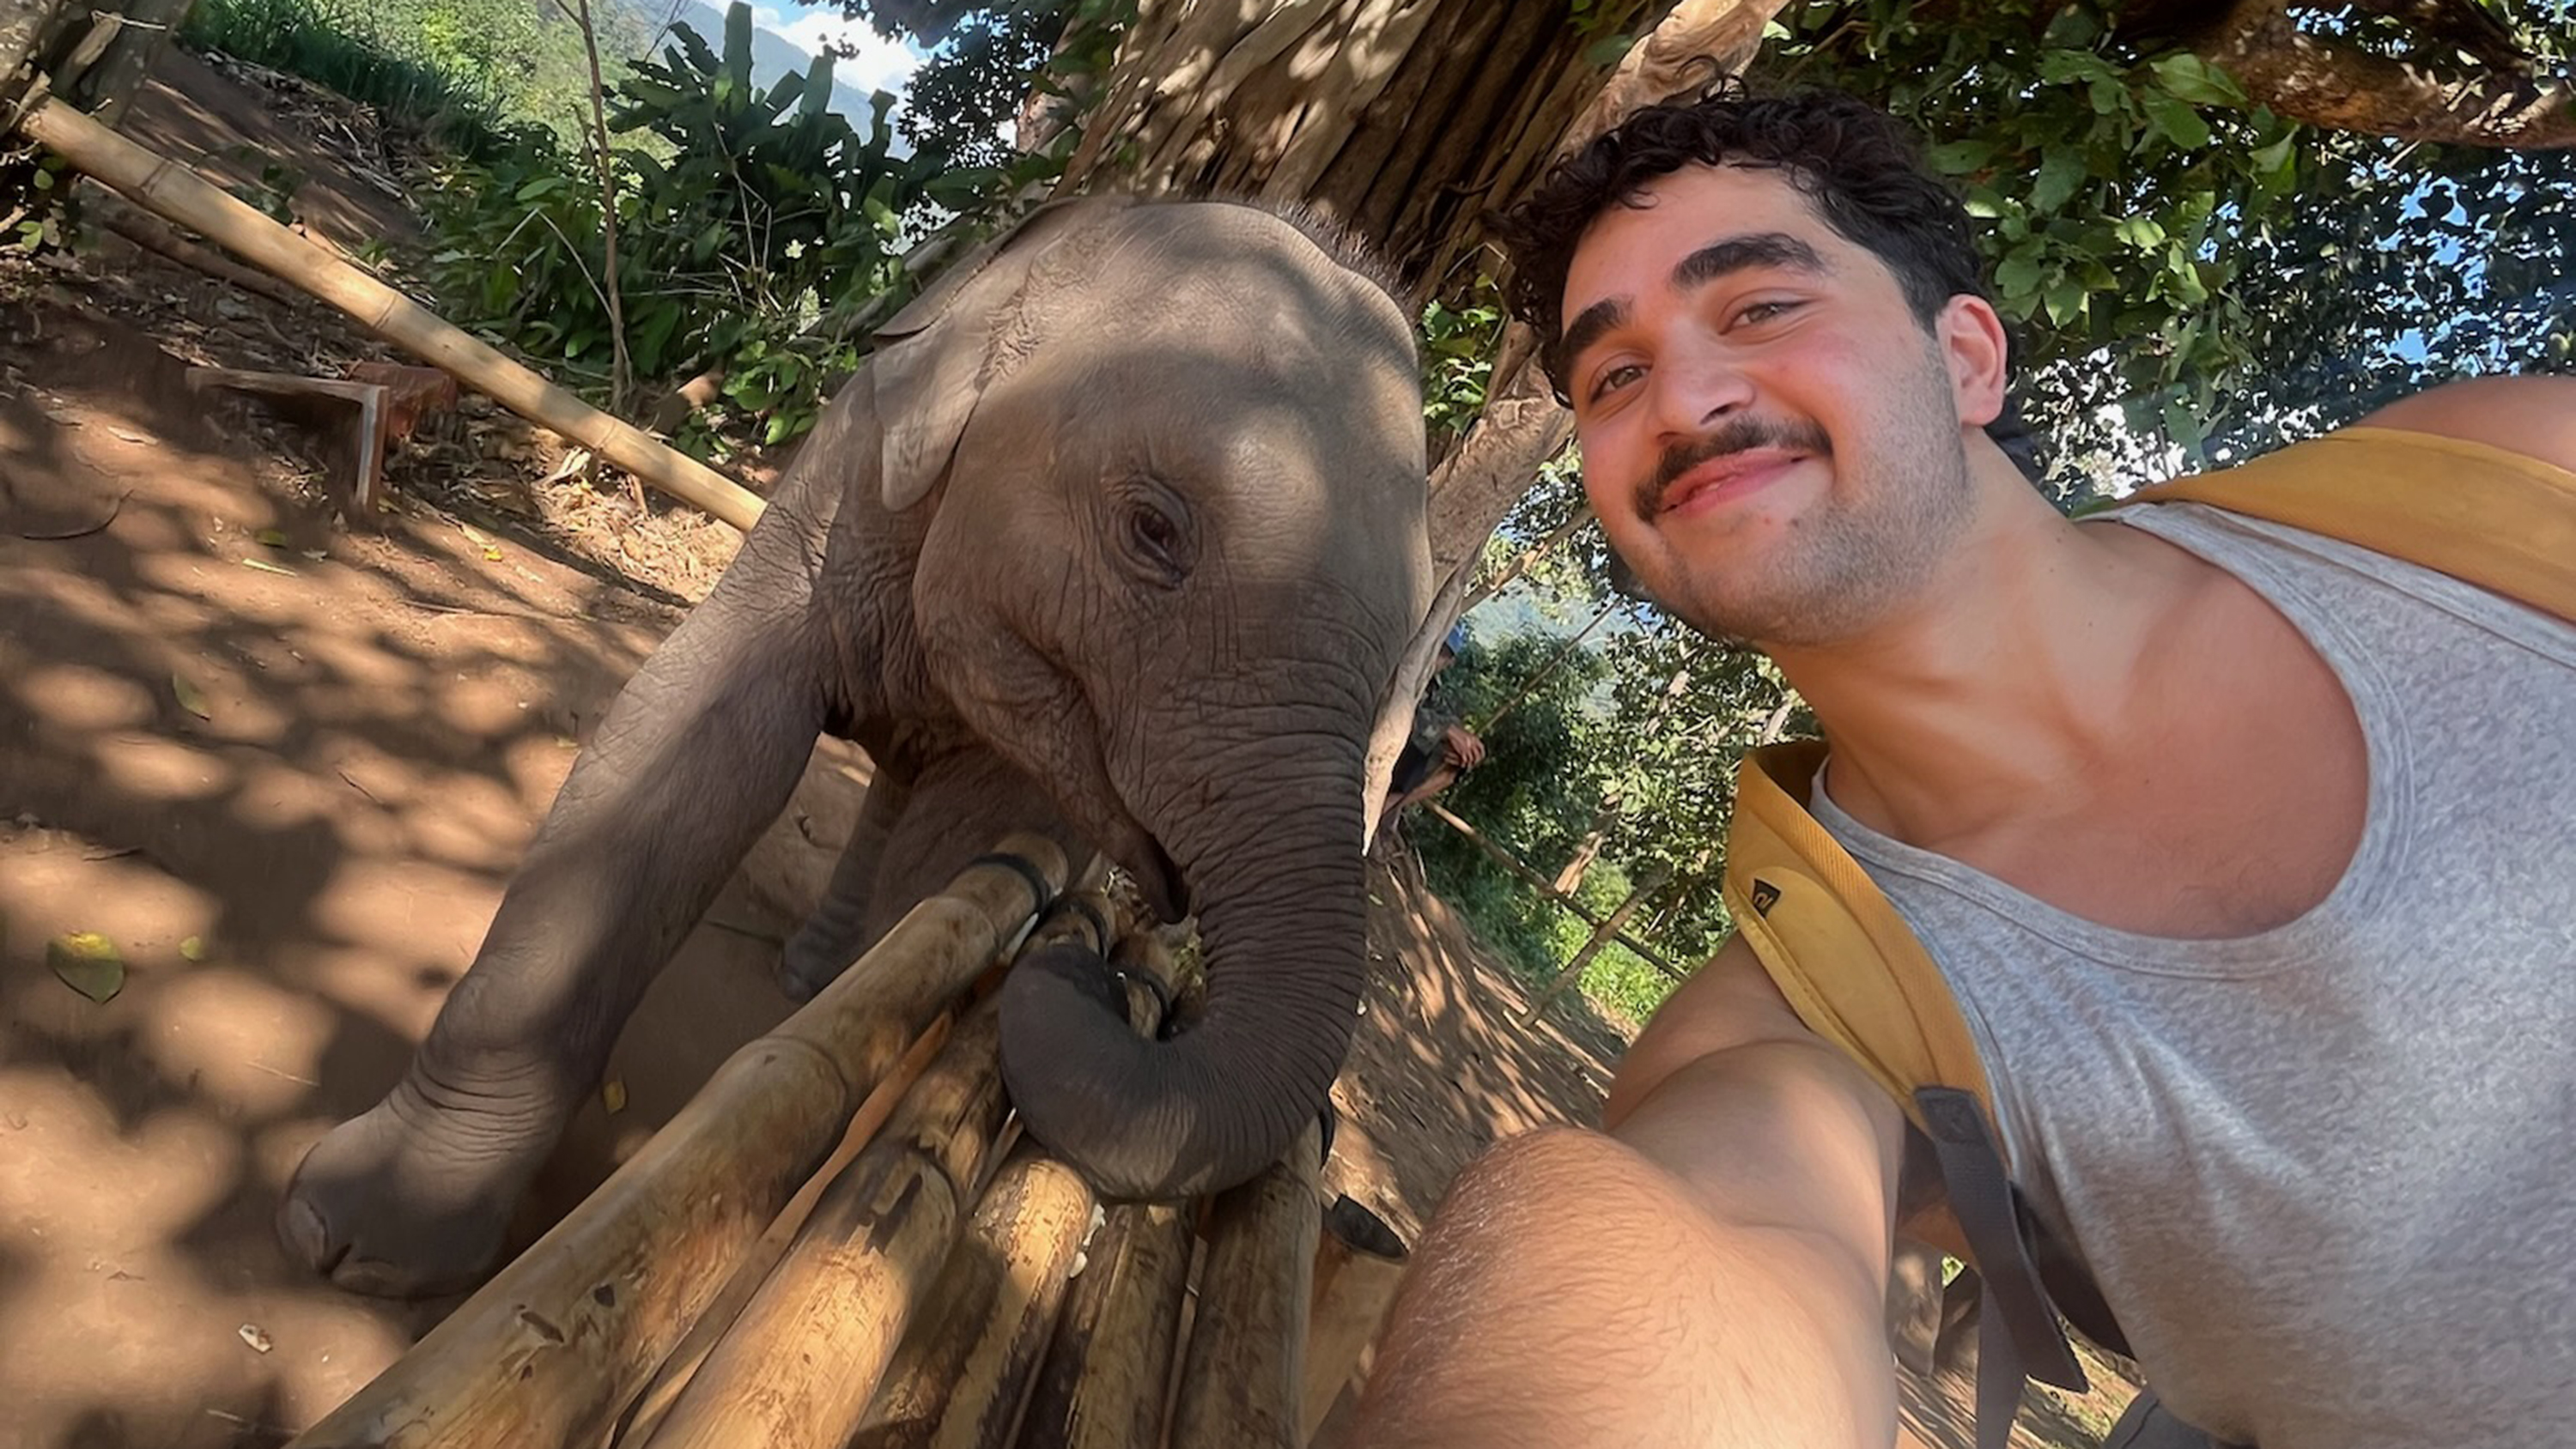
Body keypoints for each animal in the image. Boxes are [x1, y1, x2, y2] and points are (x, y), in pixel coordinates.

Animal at [277, 195, 1434, 1298]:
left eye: (1401, 663)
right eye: (1155, 530)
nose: (1094, 962)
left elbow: (946, 874)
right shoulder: (850, 475)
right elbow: (687, 741)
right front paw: (353, 1242)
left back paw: (820, 976)